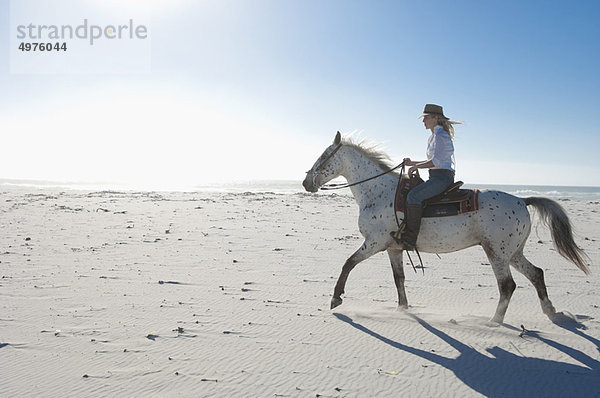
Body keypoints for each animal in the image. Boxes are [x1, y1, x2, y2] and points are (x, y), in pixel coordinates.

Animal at [302, 132, 588, 324]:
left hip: (496, 252)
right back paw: (550, 311)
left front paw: (336, 298)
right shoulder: (394, 248)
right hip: (513, 252)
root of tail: (522, 200)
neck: (379, 192)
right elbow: (398, 278)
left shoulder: (375, 242)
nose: (306, 182)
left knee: (507, 285)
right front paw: (403, 308)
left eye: (324, 155)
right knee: (536, 274)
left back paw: (494, 322)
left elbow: (348, 263)